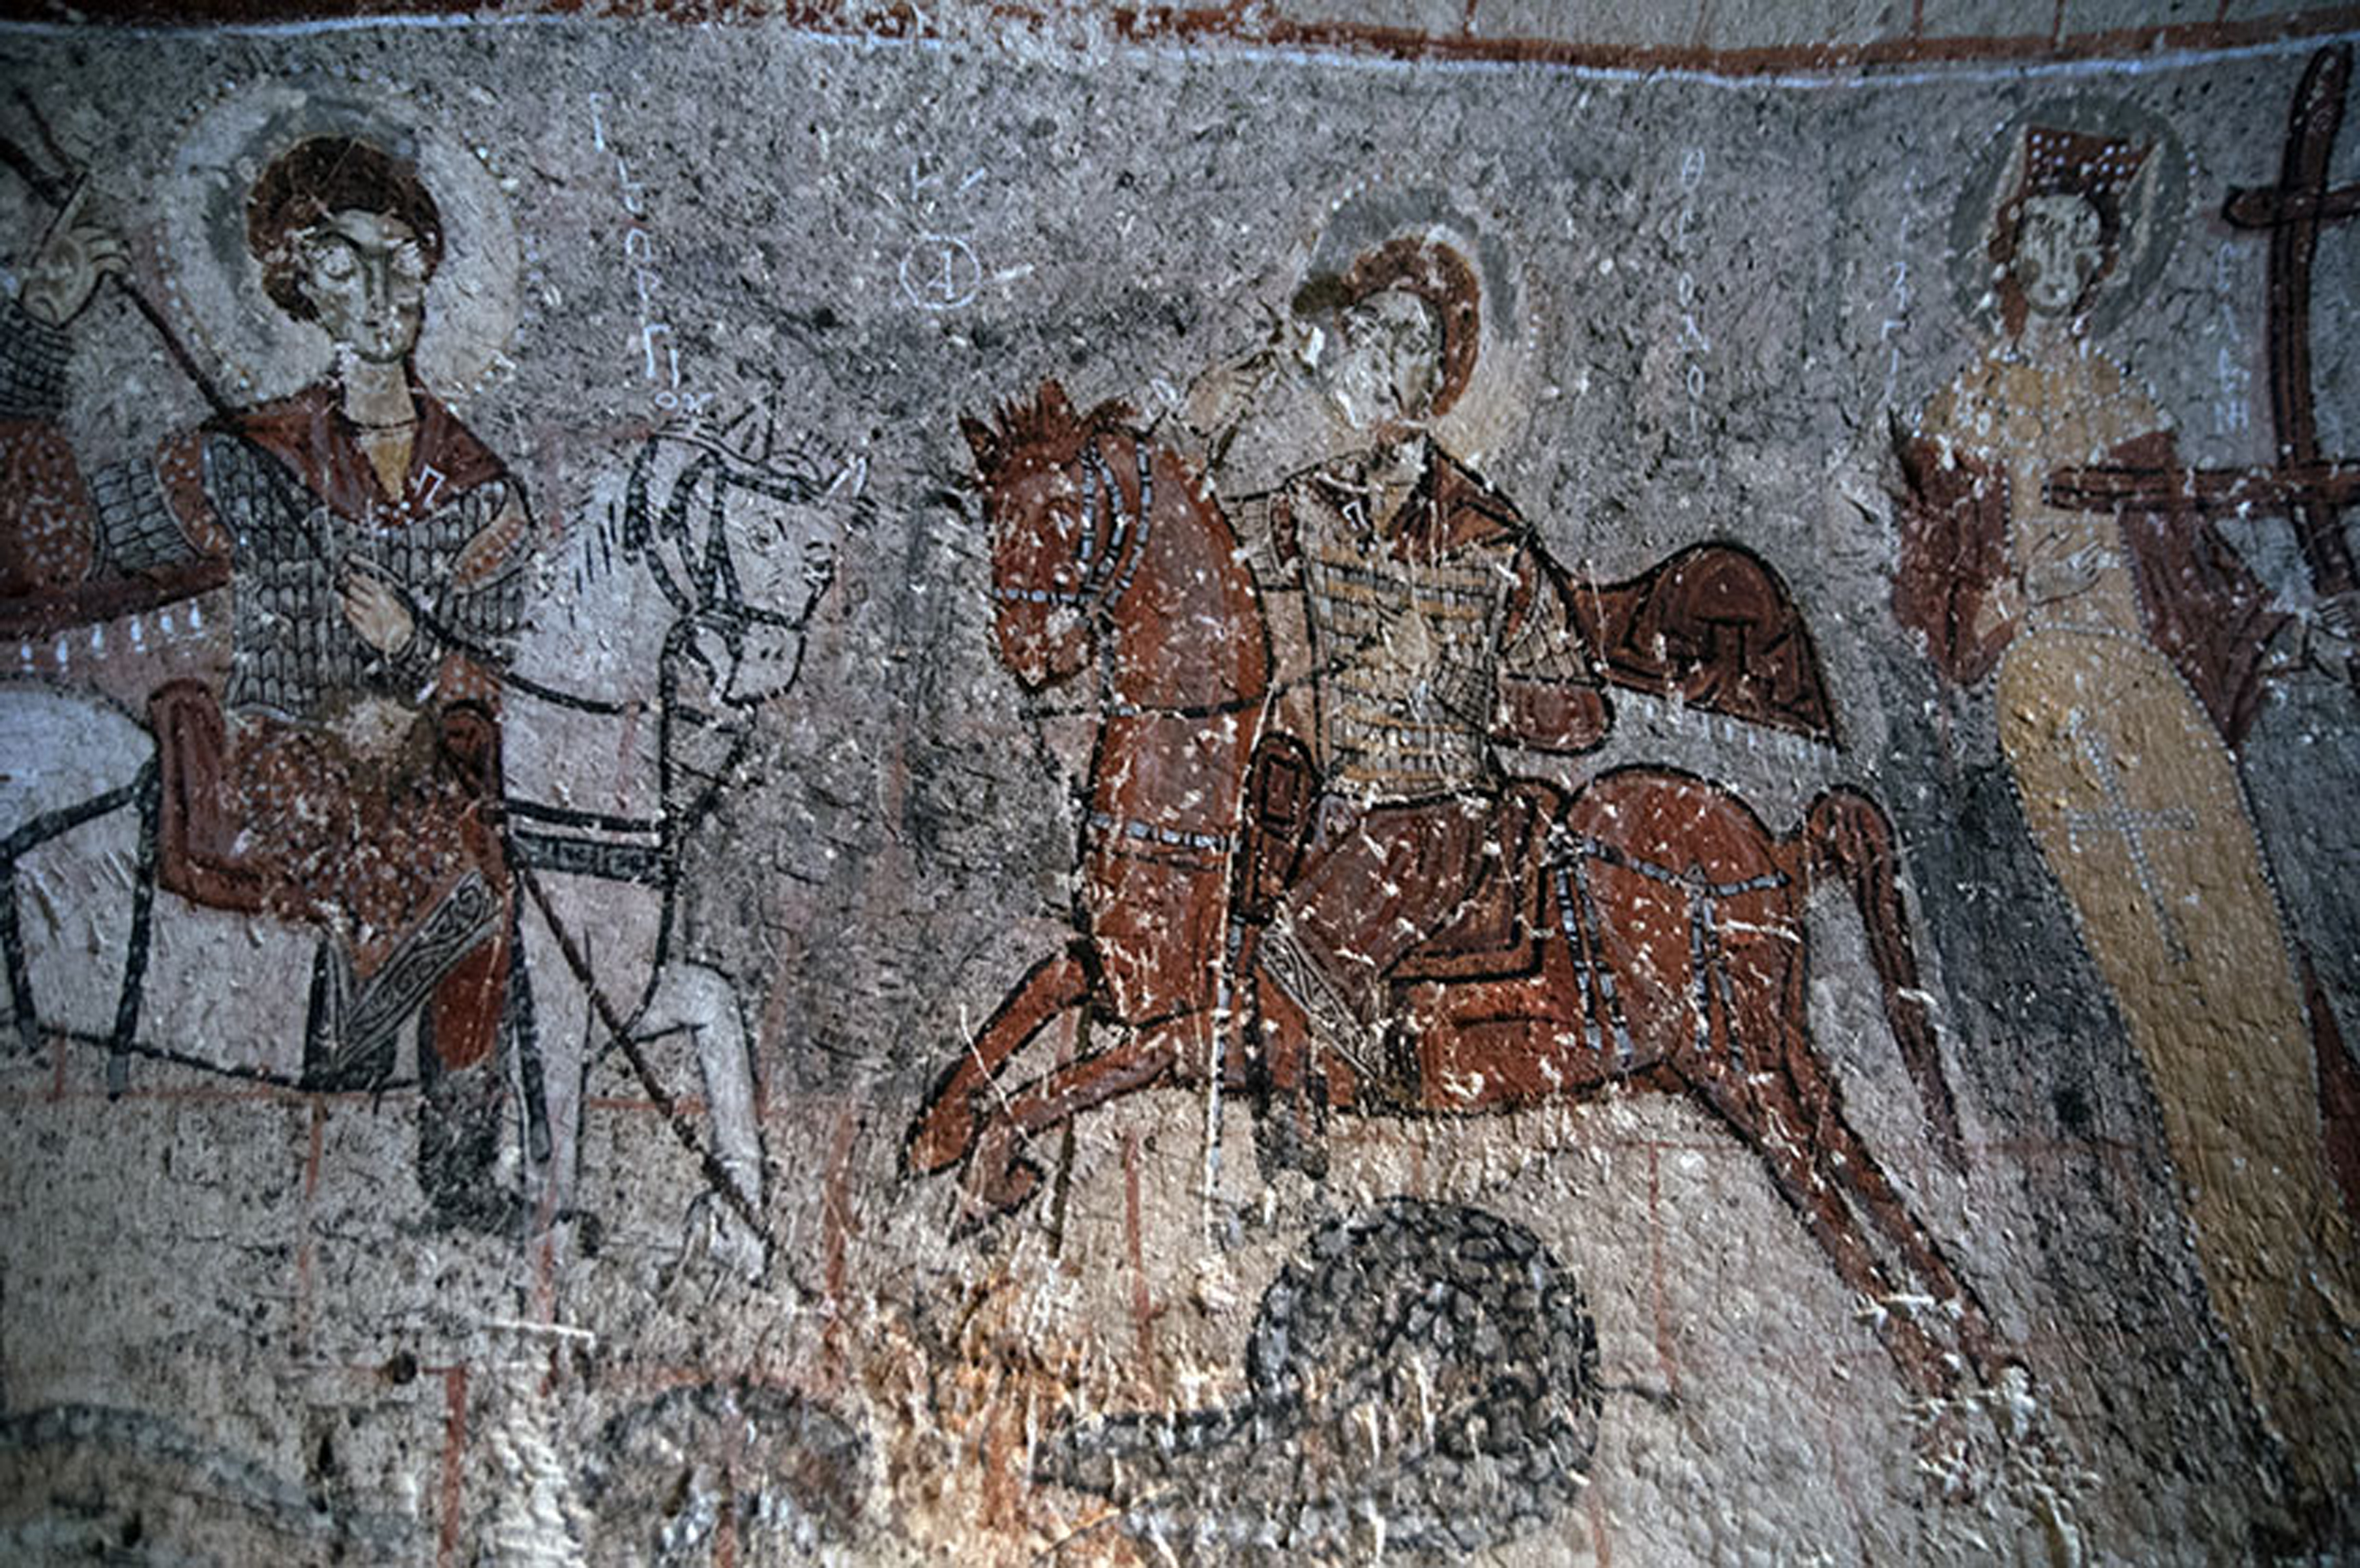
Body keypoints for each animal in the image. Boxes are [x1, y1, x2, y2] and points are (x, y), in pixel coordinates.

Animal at [0, 404, 850, 1275]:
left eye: (821, 559)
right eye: (760, 532)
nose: (769, 664)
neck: (558, 787)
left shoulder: (620, 992)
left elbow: (720, 1018)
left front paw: (738, 1227)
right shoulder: (548, 988)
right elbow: (559, 1151)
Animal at [911, 385, 2001, 1398]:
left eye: (1072, 513)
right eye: (994, 510)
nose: (1029, 652)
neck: (1203, 812)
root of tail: (1764, 839)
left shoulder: (1187, 1036)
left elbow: (1037, 1097)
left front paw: (987, 1178)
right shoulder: (1116, 987)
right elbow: (1027, 1002)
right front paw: (935, 1137)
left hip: (1733, 1062)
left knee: (1813, 1175)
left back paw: (1934, 1367)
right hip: (1760, 1049)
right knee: (1846, 1145)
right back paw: (1976, 1342)